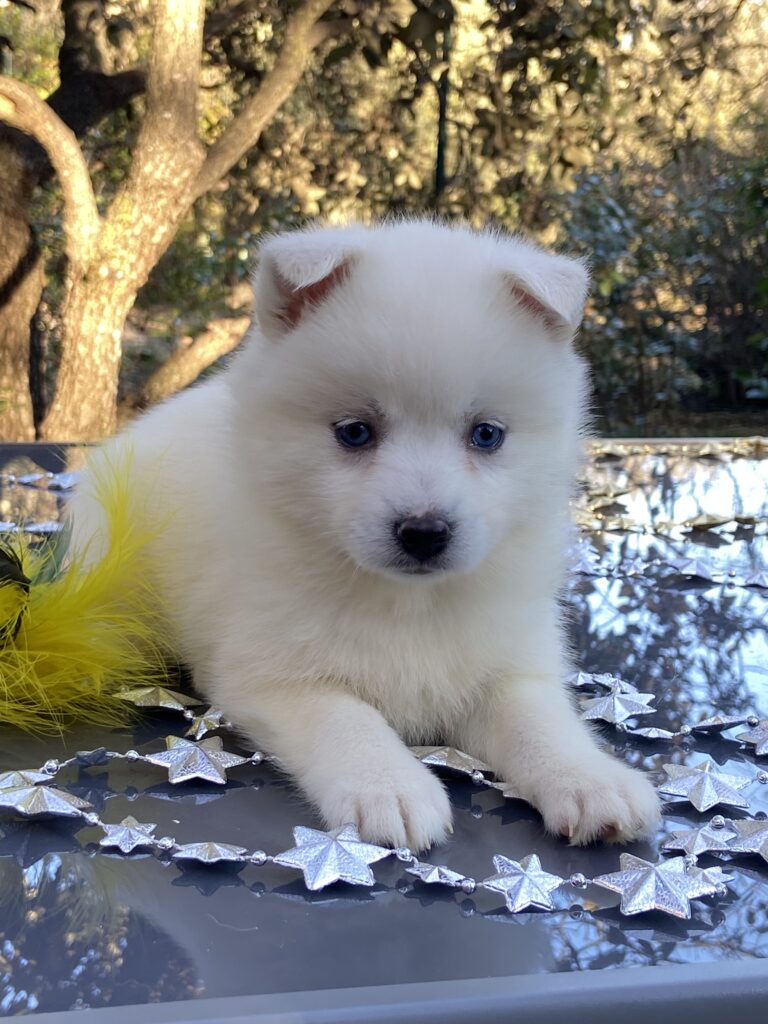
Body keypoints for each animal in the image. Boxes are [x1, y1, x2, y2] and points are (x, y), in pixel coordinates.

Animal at [69, 220, 661, 851]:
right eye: (354, 432)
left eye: (487, 435)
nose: (424, 532)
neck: (409, 603)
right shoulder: (274, 675)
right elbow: (350, 719)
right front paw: (390, 787)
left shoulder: (508, 664)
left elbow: (540, 721)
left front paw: (590, 778)